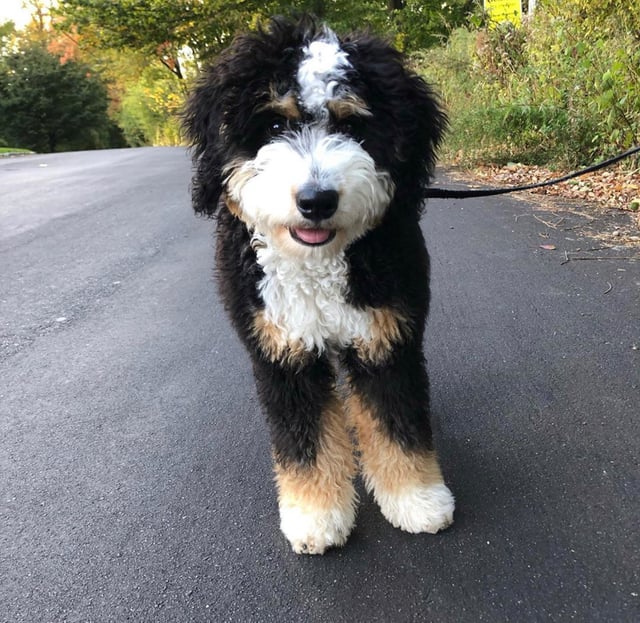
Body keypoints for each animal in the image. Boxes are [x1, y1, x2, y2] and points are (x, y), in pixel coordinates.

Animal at [182, 14, 456, 556]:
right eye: (273, 125)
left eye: (351, 126)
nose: (316, 200)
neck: (316, 264)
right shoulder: (283, 351)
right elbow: (304, 440)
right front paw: (315, 514)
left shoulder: (385, 338)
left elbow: (397, 422)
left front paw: (416, 498)